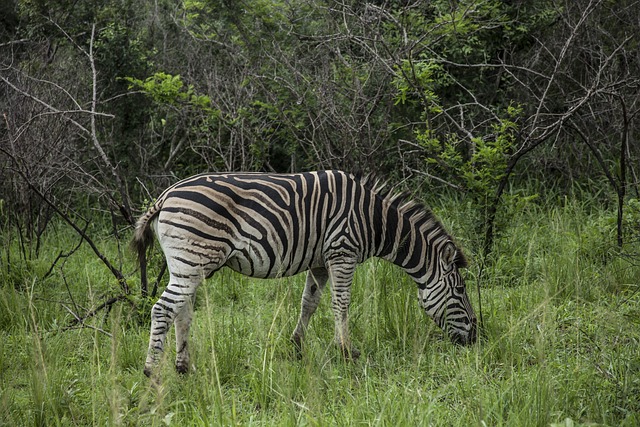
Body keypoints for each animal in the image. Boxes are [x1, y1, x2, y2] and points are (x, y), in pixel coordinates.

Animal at [134, 171, 476, 378]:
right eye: (460, 291)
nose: (475, 338)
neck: (375, 221)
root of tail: (165, 195)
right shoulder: (342, 252)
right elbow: (341, 304)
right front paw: (347, 352)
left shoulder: (320, 262)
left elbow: (309, 303)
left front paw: (297, 346)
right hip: (192, 259)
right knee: (163, 309)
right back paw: (151, 371)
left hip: (189, 265)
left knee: (182, 311)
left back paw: (183, 367)